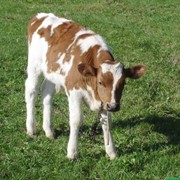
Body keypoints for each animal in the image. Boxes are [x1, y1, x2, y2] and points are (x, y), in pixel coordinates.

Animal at [25, 13, 146, 160]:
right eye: (100, 82)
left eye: (123, 83)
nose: (113, 106)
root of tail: (40, 15)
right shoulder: (74, 91)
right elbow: (76, 120)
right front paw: (72, 152)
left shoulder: (104, 100)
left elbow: (107, 123)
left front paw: (111, 152)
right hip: (34, 65)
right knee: (31, 91)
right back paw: (31, 128)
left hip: (51, 72)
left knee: (46, 93)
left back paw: (49, 130)